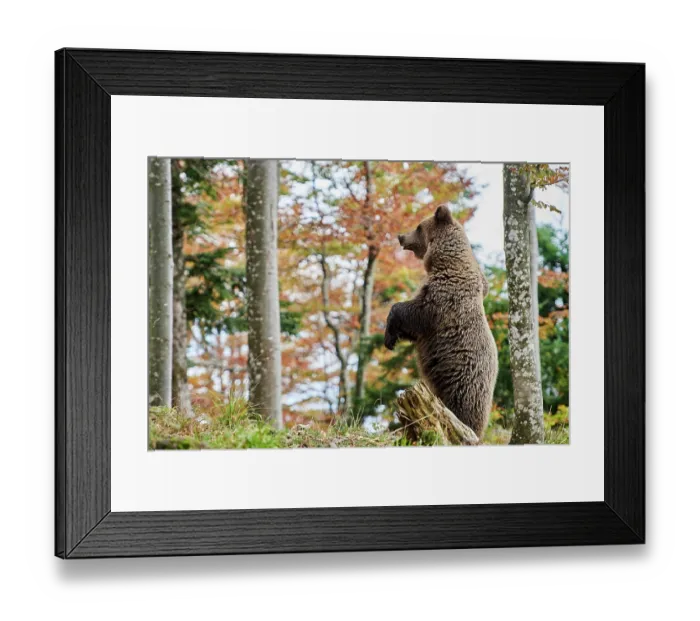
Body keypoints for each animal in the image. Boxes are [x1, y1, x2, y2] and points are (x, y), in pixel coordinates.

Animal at [384, 204, 498, 440]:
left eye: (419, 226)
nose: (401, 236)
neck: (444, 260)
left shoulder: (445, 296)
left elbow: (415, 312)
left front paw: (389, 335)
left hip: (464, 381)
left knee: (461, 408)